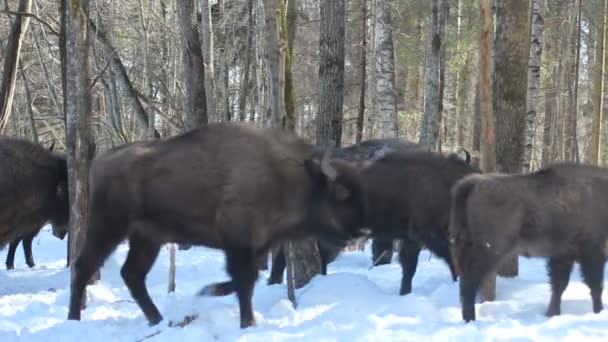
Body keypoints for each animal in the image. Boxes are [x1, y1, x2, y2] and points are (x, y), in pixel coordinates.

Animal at [67, 123, 370, 328]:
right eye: (341, 192)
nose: (362, 231)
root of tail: (98, 163)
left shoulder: (257, 247)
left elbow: (246, 279)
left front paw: (209, 291)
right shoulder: (238, 243)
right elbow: (244, 281)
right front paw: (247, 322)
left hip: (147, 238)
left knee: (132, 274)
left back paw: (157, 318)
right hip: (108, 228)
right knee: (84, 266)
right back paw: (74, 319)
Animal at [448, 163, 608, 324]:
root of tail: (475, 183)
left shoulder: (563, 256)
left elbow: (559, 286)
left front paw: (551, 313)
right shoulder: (592, 253)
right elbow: (595, 286)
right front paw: (598, 311)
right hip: (489, 251)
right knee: (470, 282)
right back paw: (471, 319)